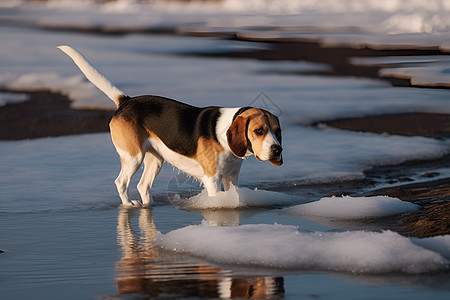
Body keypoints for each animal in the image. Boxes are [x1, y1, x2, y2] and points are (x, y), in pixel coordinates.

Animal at [56, 46, 282, 206]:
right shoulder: (212, 179)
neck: (223, 134)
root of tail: (126, 101)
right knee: (121, 183)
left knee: (143, 185)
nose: (277, 150)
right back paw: (129, 204)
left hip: (155, 160)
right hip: (133, 157)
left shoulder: (231, 178)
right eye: (259, 131)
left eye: (278, 131)